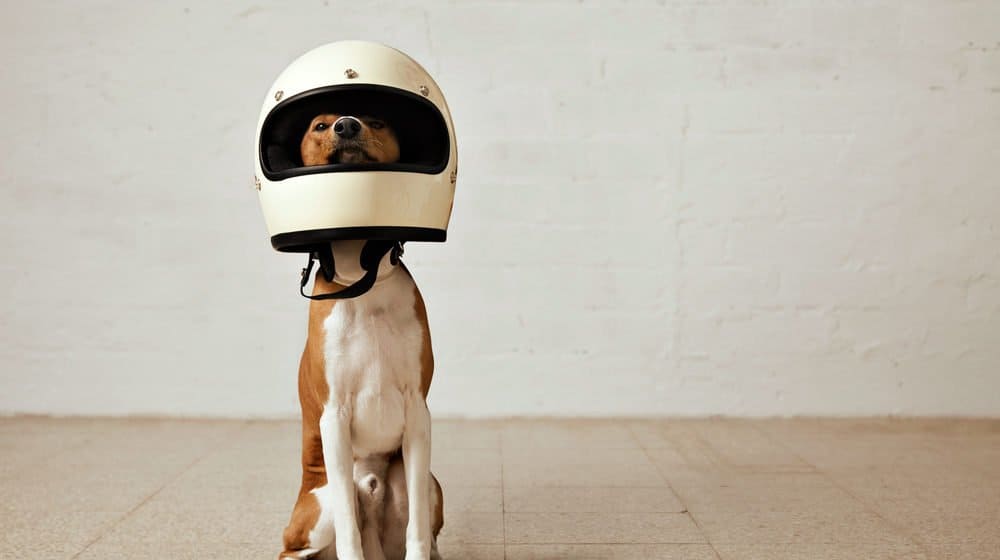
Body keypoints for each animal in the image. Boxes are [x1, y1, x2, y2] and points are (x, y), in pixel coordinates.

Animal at [282, 115, 446, 560]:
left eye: (377, 121)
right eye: (320, 125)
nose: (346, 124)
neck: (362, 280)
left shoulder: (417, 413)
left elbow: (418, 529)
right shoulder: (334, 417)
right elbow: (348, 531)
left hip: (427, 483)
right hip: (318, 510)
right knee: (300, 544)